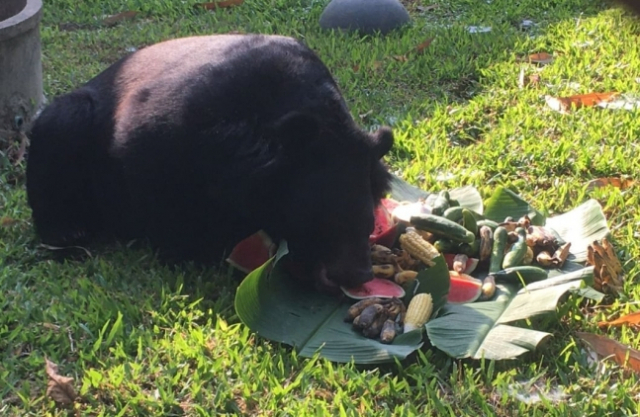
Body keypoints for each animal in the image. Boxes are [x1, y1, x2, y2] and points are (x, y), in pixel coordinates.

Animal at [26, 34, 396, 290]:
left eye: (367, 224)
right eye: (320, 222)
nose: (356, 275)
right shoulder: (160, 132)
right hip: (71, 121)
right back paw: (67, 232)